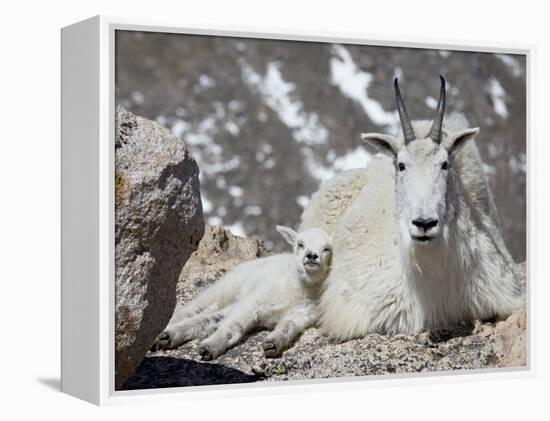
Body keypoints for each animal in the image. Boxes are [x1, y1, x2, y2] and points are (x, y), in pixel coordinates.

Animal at [152, 226, 332, 358]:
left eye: (327, 249)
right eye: (300, 244)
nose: (311, 256)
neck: (298, 288)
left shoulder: (303, 313)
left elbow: (288, 326)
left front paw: (272, 344)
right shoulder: (255, 301)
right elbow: (235, 326)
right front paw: (209, 347)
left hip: (231, 302)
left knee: (208, 319)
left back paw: (167, 337)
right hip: (224, 289)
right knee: (191, 309)